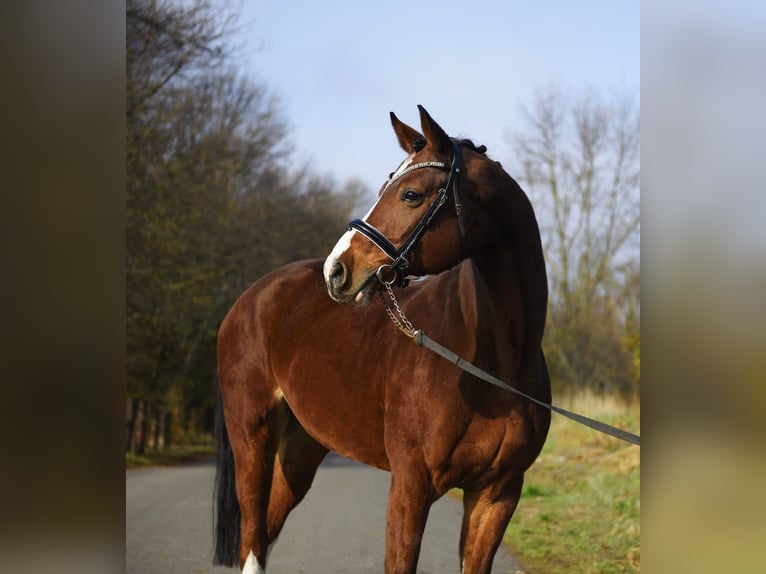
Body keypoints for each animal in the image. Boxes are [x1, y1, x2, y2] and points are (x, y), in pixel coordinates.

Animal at [214, 105, 551, 574]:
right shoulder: (411, 484)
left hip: (300, 449)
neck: (495, 364)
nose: (337, 270)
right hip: (251, 436)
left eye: (410, 194)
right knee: (252, 541)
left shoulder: (497, 494)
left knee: (266, 529)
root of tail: (249, 298)